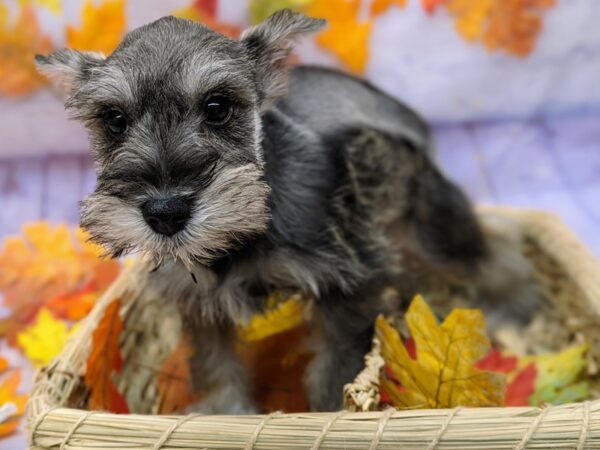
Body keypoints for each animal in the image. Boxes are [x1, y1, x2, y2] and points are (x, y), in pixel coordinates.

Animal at [35, 10, 536, 414]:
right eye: (113, 119)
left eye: (218, 107)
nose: (165, 212)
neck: (247, 229)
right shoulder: (198, 302)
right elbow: (215, 366)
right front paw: (226, 416)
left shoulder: (348, 284)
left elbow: (336, 369)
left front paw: (328, 413)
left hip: (432, 225)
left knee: (499, 249)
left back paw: (514, 314)